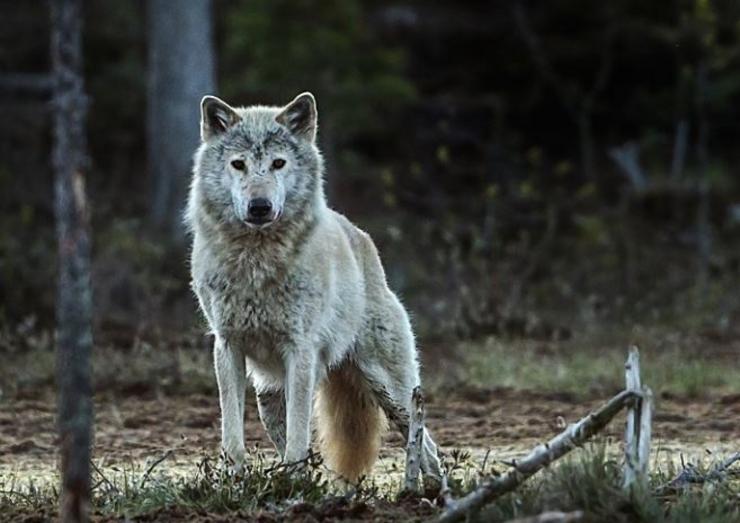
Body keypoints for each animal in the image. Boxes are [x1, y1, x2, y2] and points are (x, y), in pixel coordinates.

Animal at [186, 91, 440, 484]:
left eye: (278, 163)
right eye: (238, 165)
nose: (260, 206)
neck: (257, 263)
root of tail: (362, 237)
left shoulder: (300, 350)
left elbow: (299, 435)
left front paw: (294, 482)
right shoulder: (227, 347)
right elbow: (233, 435)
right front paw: (234, 482)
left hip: (391, 390)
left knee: (426, 445)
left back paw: (429, 490)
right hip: (269, 399)